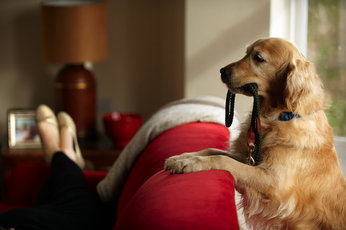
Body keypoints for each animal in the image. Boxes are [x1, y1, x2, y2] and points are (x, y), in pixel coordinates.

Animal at [165, 38, 346, 230]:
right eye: (246, 53)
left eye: (258, 58)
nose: (222, 71)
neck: (277, 117)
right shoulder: (250, 159)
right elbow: (212, 150)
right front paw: (181, 158)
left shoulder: (273, 183)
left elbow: (223, 159)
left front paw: (188, 163)